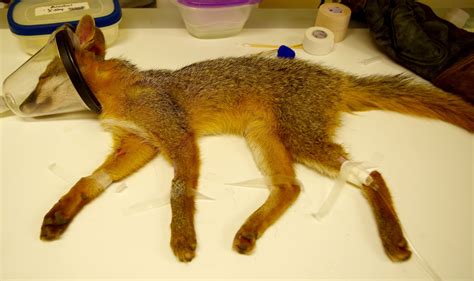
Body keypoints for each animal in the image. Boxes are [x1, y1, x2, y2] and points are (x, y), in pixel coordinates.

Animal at [30, 14, 474, 260]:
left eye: (40, 77)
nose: (25, 103)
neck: (124, 92)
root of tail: (335, 76)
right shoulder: (139, 143)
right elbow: (90, 180)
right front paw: (62, 210)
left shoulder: (177, 136)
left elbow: (178, 190)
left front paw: (182, 235)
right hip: (265, 139)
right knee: (291, 187)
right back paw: (249, 230)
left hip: (301, 142)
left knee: (372, 174)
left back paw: (393, 239)